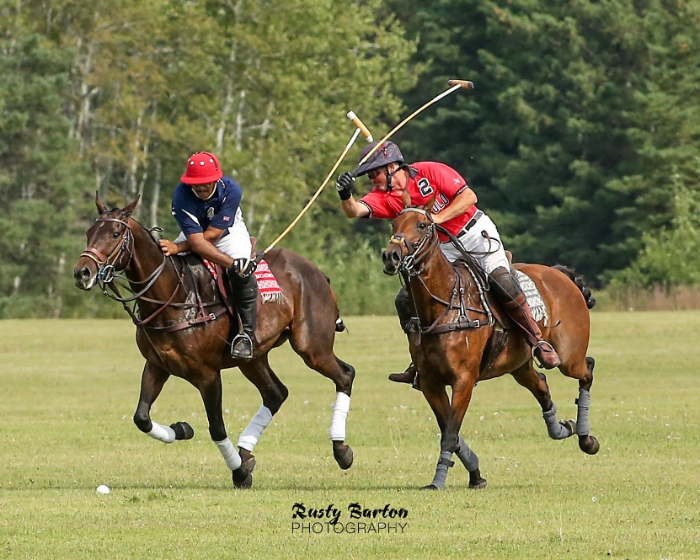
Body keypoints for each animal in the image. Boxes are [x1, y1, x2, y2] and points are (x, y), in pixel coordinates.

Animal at [75, 196, 356, 486]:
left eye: (115, 234)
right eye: (89, 233)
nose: (82, 272)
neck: (173, 296)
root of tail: (317, 272)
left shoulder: (207, 374)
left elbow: (217, 427)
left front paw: (239, 473)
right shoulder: (156, 365)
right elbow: (141, 417)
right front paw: (182, 429)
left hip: (311, 346)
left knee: (345, 374)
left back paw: (341, 449)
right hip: (253, 358)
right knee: (276, 393)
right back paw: (246, 453)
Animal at [380, 200, 600, 490]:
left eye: (423, 224)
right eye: (393, 224)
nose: (391, 256)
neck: (446, 305)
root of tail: (560, 274)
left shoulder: (463, 380)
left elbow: (450, 433)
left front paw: (439, 481)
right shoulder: (429, 382)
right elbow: (449, 429)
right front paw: (475, 475)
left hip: (569, 356)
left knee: (586, 369)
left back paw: (587, 439)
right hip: (519, 364)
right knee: (541, 384)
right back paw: (563, 429)